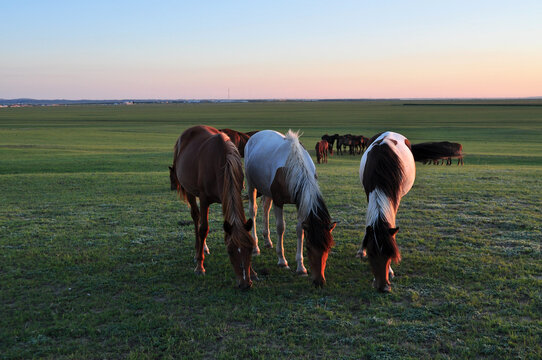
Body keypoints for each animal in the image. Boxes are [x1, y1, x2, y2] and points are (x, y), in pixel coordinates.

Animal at [170, 126, 258, 290]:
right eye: (230, 251)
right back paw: (198, 250)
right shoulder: (204, 199)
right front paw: (200, 266)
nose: (244, 284)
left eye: (250, 248)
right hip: (190, 191)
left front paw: (253, 272)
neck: (223, 163)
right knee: (196, 217)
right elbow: (203, 228)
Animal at [245, 129, 336, 286]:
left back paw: (267, 241)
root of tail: (255, 135)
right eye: (309, 247)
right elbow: (281, 227)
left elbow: (300, 230)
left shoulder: (300, 203)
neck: (292, 166)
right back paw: (256, 247)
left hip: (267, 191)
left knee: (265, 209)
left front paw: (301, 267)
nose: (319, 281)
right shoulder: (278, 201)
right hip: (251, 186)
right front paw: (282, 261)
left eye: (328, 248)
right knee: (253, 211)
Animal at [362, 132, 416, 292]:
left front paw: (391, 270)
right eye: (371, 254)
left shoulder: (395, 197)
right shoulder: (368, 193)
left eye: (390, 254)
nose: (383, 287)